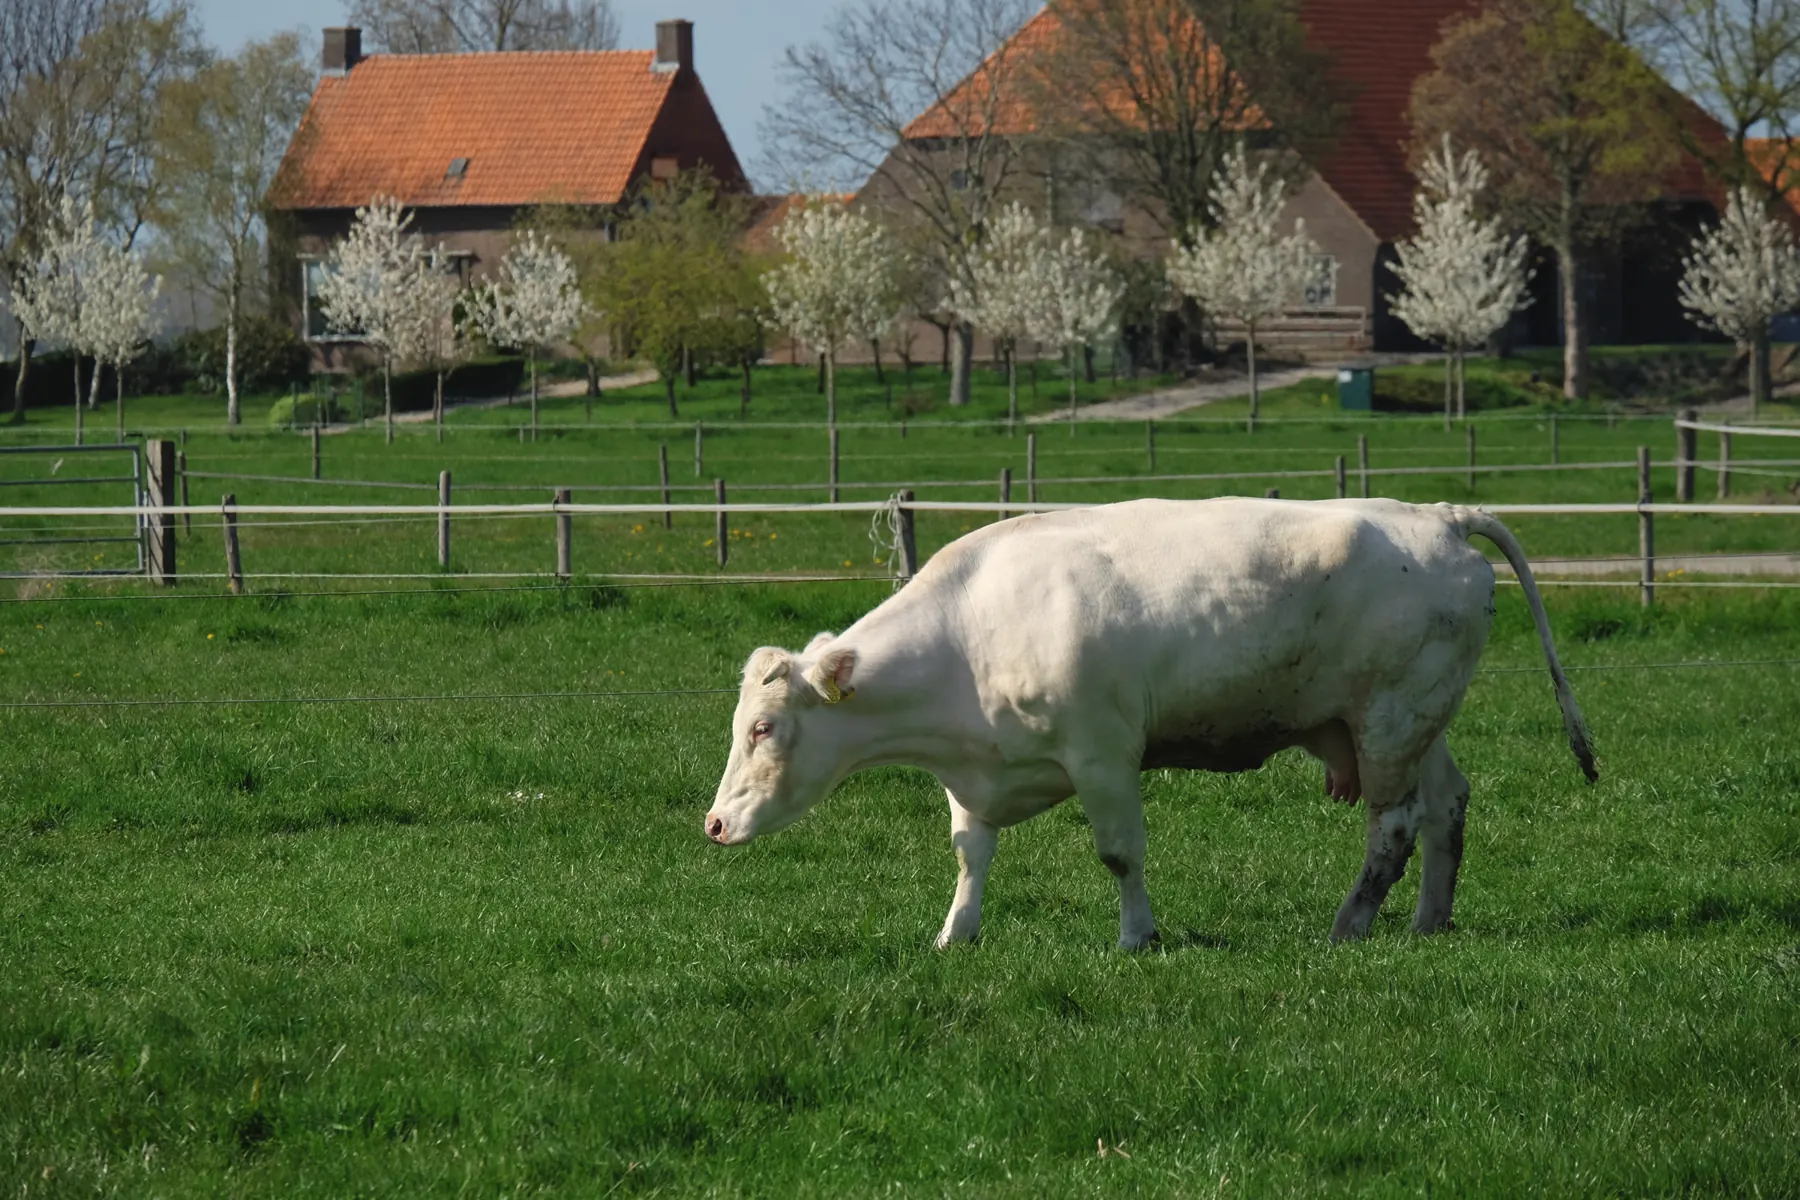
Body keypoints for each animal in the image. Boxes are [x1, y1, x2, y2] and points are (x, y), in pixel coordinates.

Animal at [706, 498, 1596, 949]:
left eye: (763, 730)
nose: (713, 824)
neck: (969, 631)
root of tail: (1439, 515)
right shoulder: (974, 774)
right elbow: (970, 855)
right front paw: (956, 934)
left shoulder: (1103, 756)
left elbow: (1118, 853)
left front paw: (1137, 936)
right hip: (1414, 724)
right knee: (1447, 805)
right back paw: (1428, 920)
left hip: (1389, 721)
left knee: (1396, 825)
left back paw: (1351, 923)